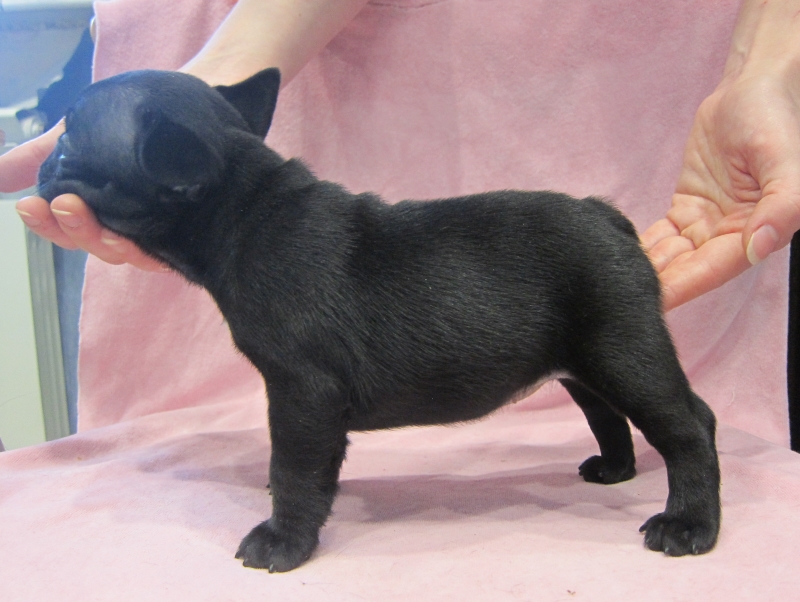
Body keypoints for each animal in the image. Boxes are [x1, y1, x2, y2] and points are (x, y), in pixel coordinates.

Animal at [38, 68, 720, 572]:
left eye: (69, 141)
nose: (42, 162)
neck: (245, 205)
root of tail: (609, 218)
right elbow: (314, 466)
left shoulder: (301, 390)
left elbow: (293, 464)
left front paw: (282, 539)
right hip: (584, 359)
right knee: (609, 411)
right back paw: (615, 470)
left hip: (623, 349)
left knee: (688, 425)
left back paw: (689, 524)